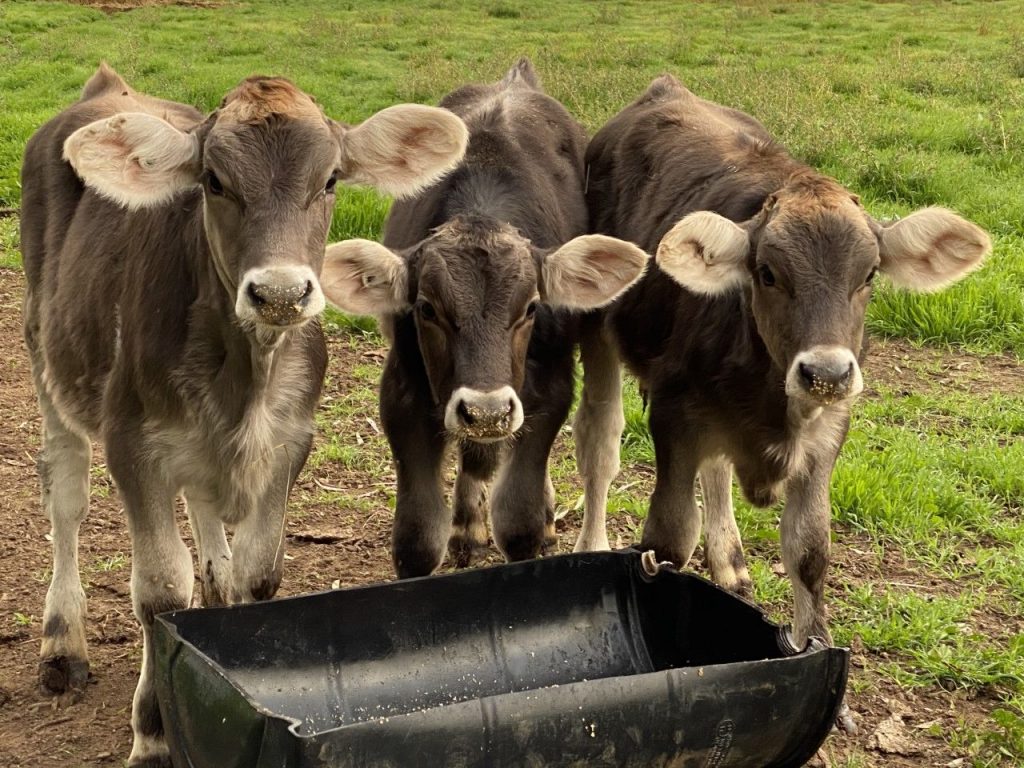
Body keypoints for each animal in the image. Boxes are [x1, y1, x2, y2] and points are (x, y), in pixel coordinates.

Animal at [20, 63, 468, 765]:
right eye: (213, 181)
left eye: (330, 180)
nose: (280, 292)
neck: (243, 380)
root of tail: (106, 89)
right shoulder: (132, 443)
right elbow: (159, 590)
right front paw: (154, 730)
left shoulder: (288, 442)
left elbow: (259, 572)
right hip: (47, 359)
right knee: (65, 498)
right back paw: (63, 644)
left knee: (203, 508)